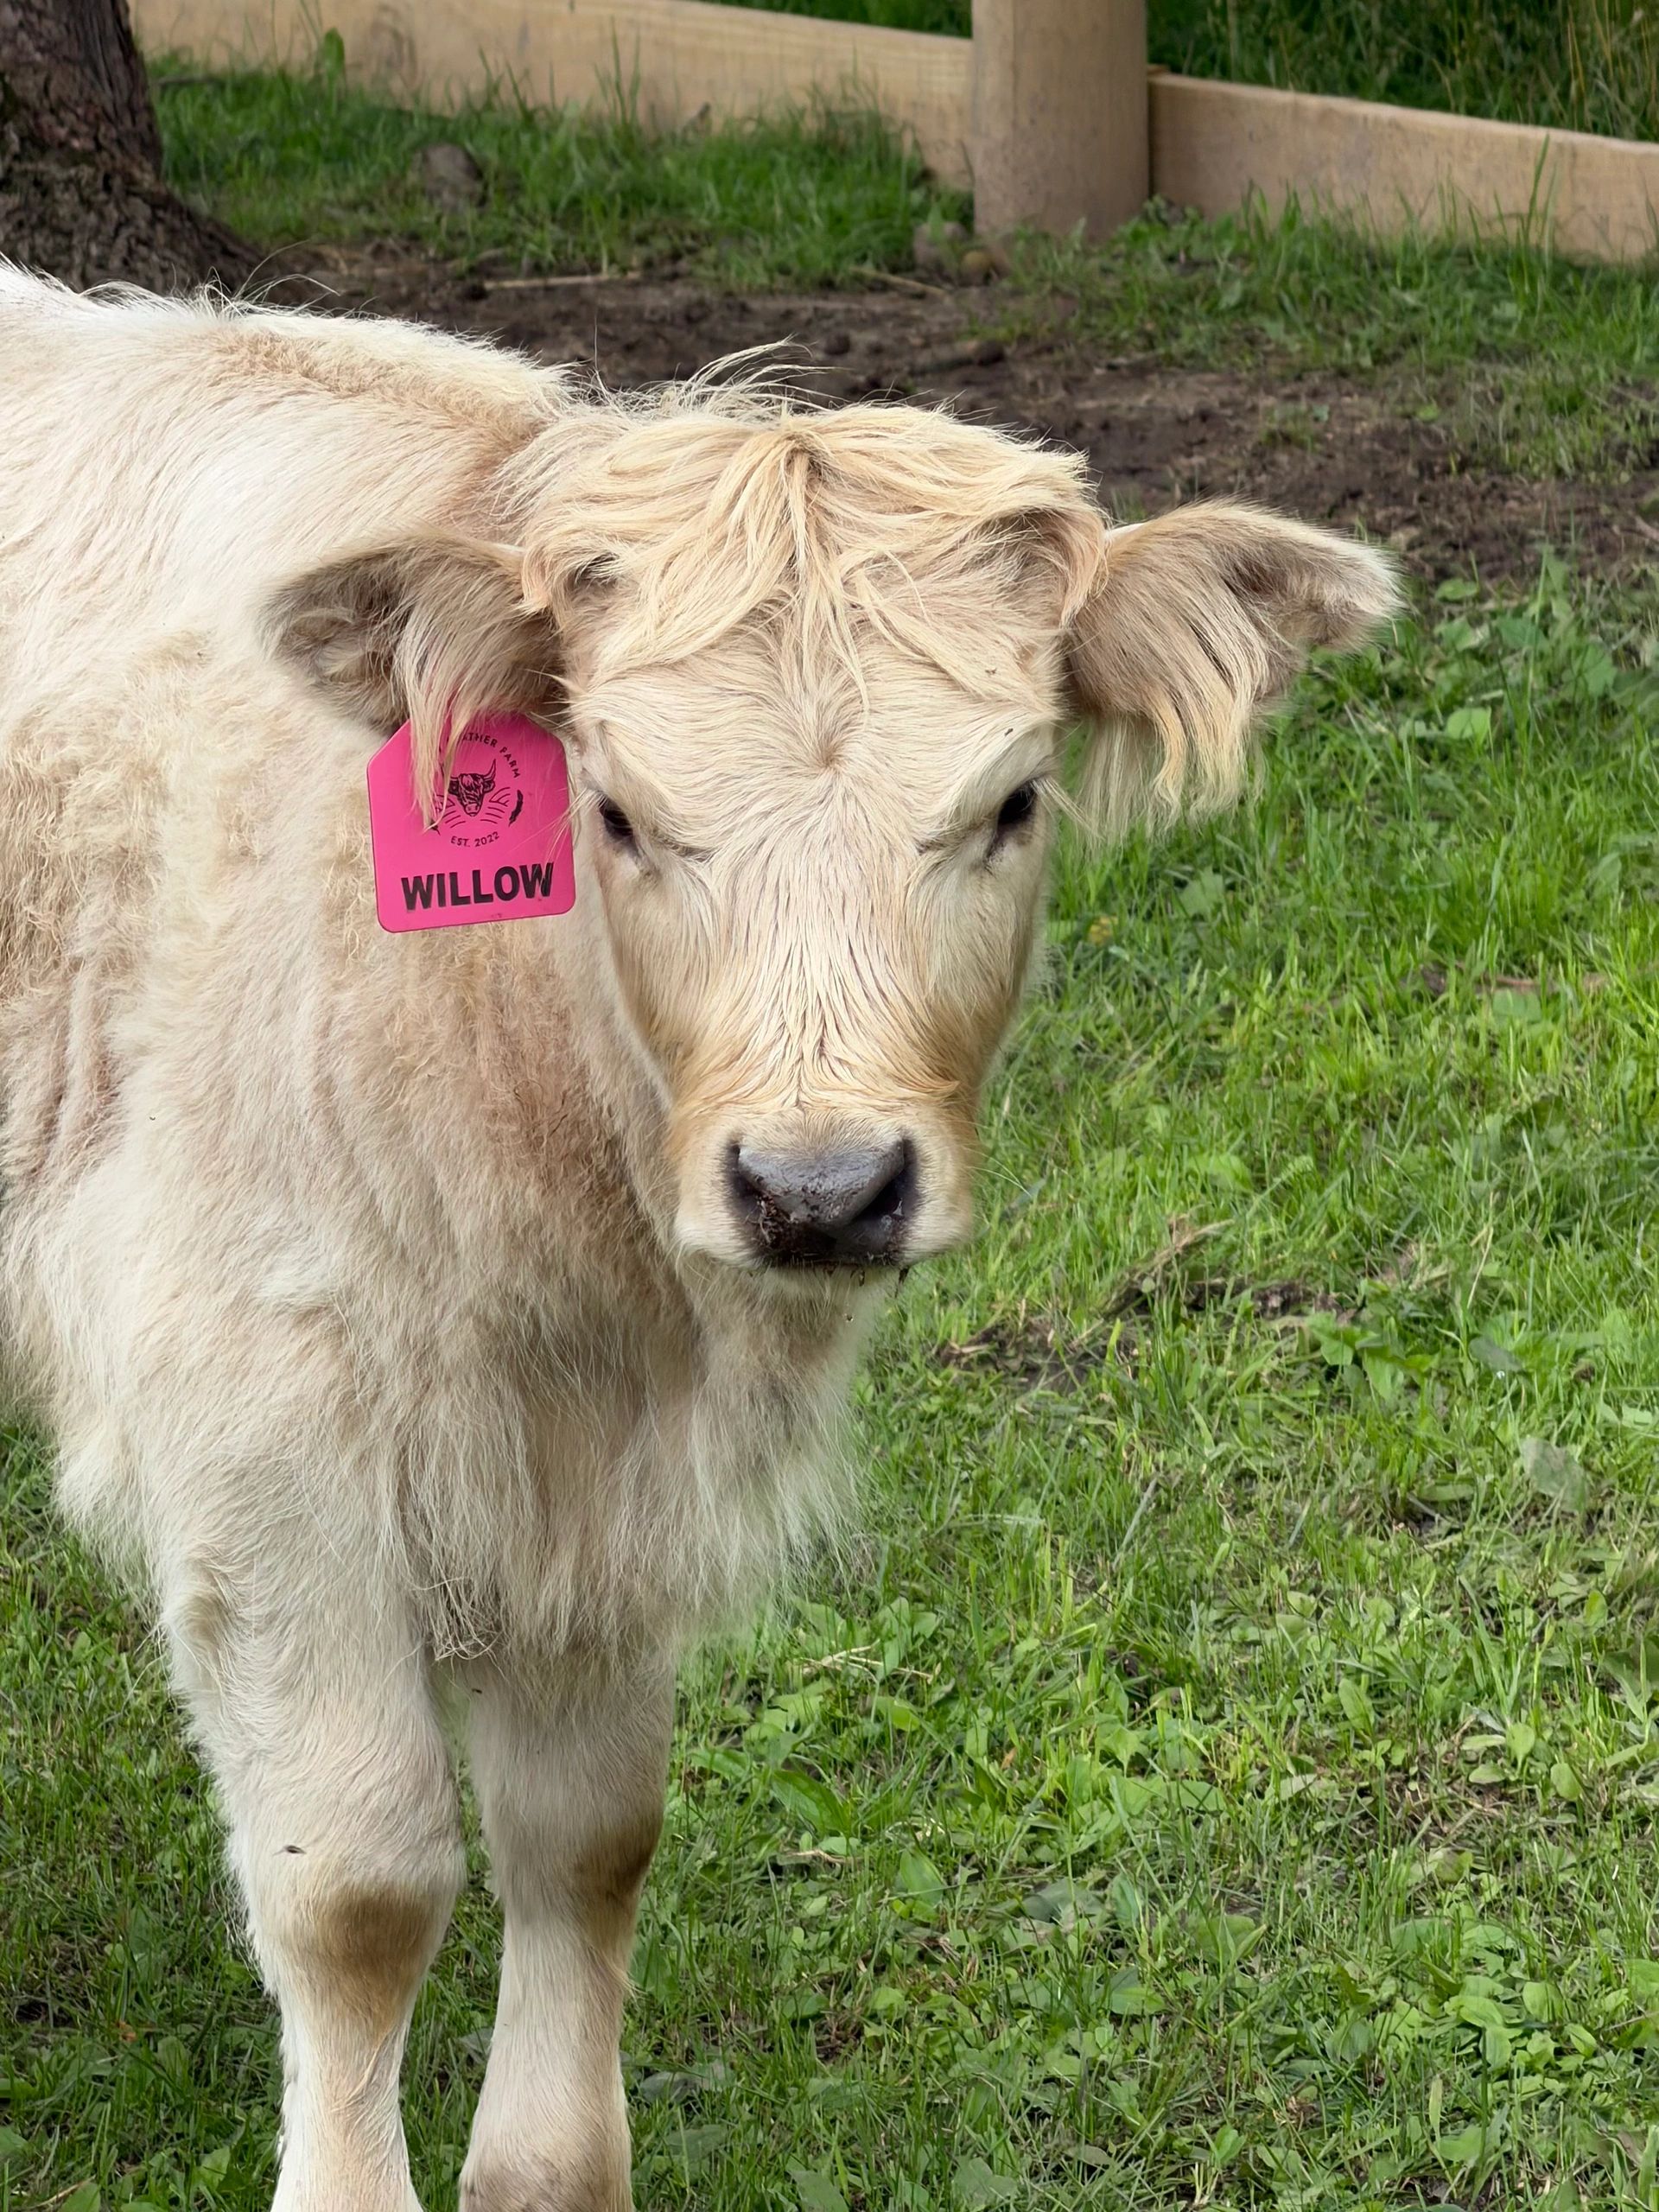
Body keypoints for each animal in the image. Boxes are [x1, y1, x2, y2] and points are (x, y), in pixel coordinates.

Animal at [0, 264, 1398, 2212]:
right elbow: (358, 1887)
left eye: (1011, 802)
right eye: (617, 808)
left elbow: (588, 1840)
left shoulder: (610, 1491)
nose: (819, 1189)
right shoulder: (260, 1442)